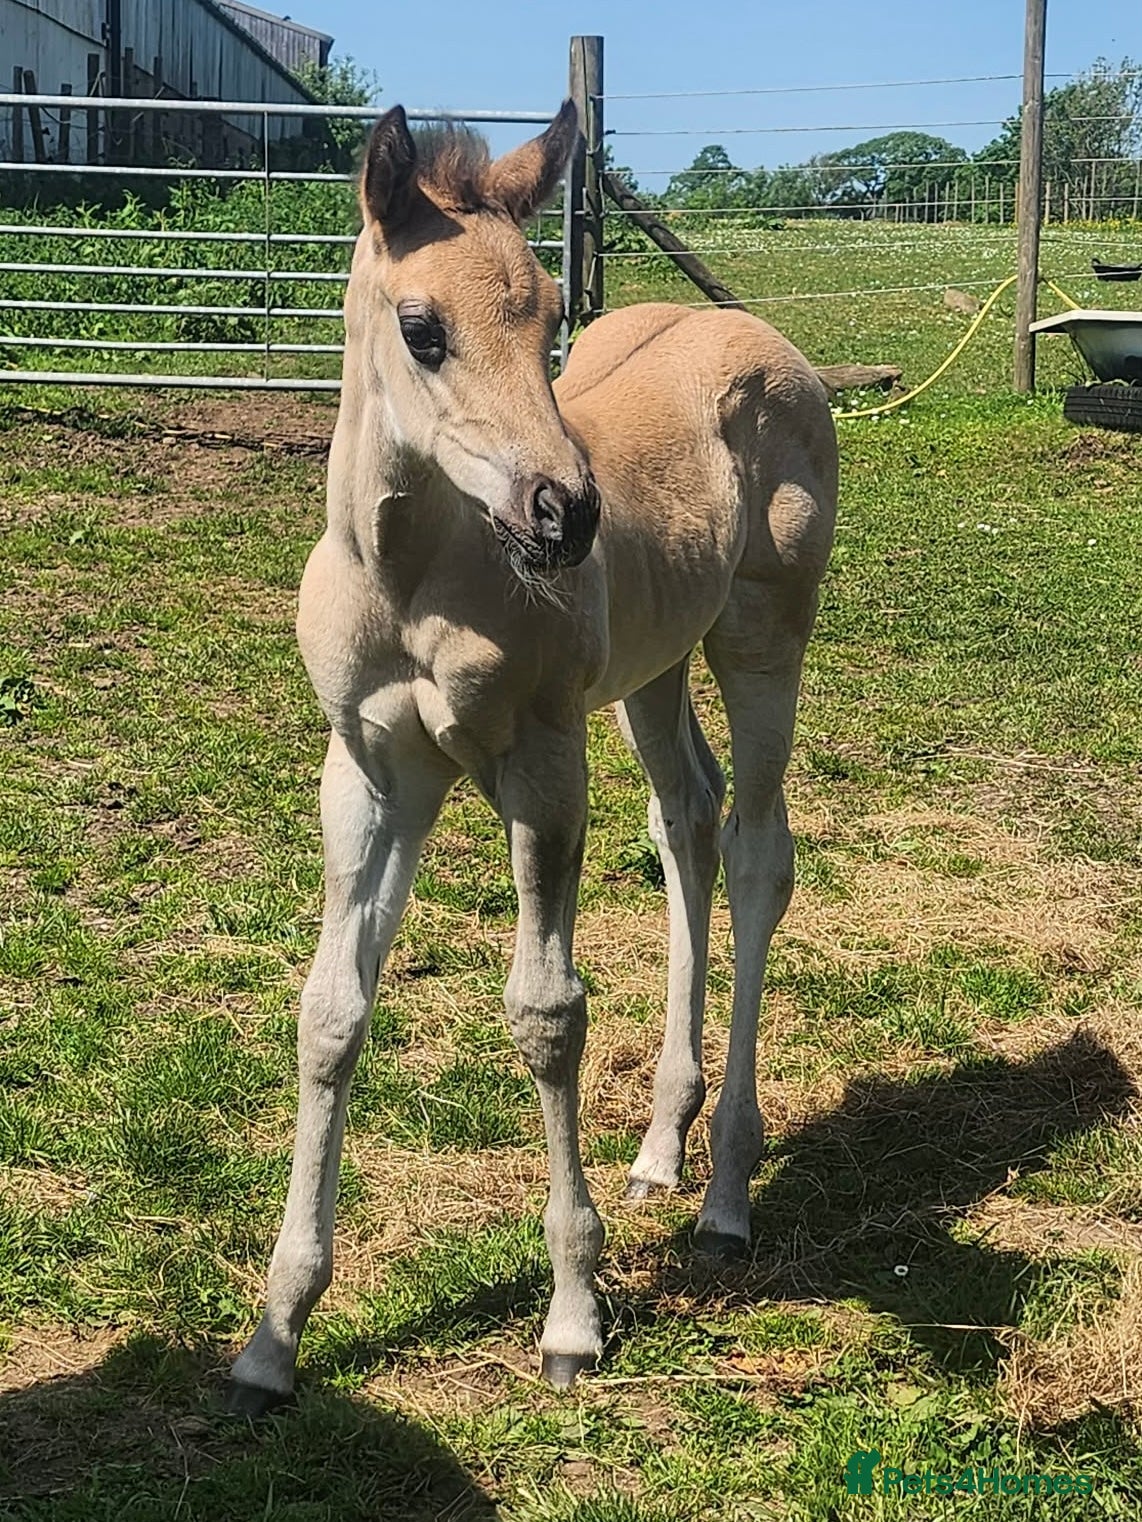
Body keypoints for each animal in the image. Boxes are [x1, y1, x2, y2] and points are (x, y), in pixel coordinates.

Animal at [230, 99, 838, 1412]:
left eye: (550, 312)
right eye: (422, 329)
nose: (568, 513)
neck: (414, 581)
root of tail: (754, 332)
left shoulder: (541, 767)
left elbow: (546, 1014)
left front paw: (570, 1314)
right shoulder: (368, 775)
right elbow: (330, 1011)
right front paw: (273, 1337)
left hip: (760, 640)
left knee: (758, 851)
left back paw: (723, 1196)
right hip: (650, 674)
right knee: (688, 819)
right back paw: (659, 1149)